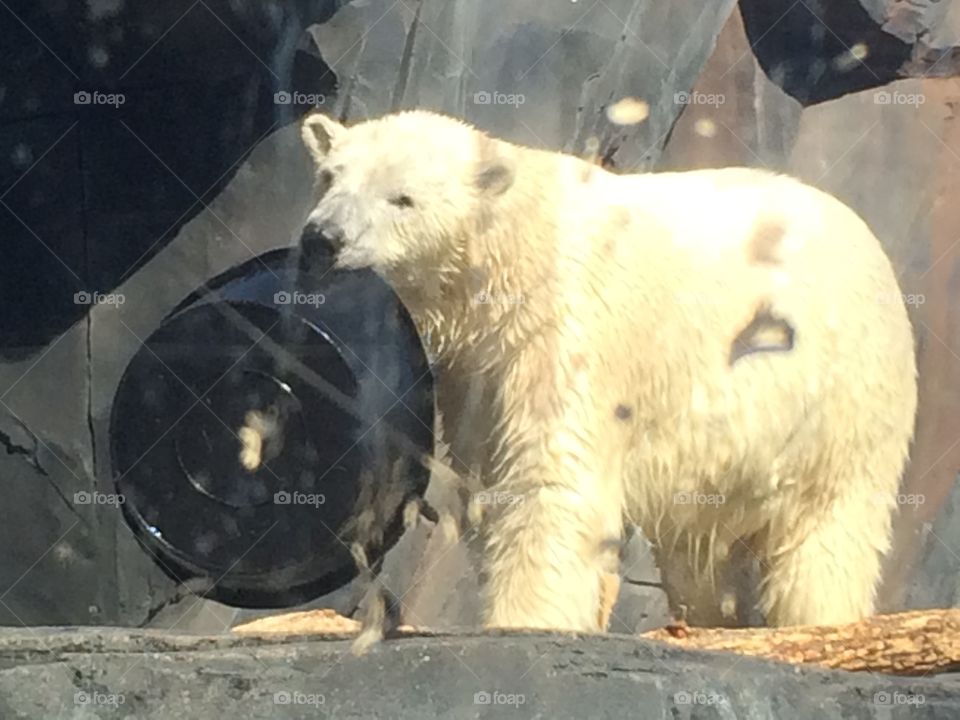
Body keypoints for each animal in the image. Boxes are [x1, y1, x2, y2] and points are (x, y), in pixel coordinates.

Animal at [298, 109, 917, 632]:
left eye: (402, 198)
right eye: (330, 177)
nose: (323, 237)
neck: (511, 248)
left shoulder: (564, 331)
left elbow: (549, 478)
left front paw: (524, 621)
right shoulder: (481, 367)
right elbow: (494, 470)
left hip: (838, 397)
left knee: (826, 530)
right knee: (702, 548)